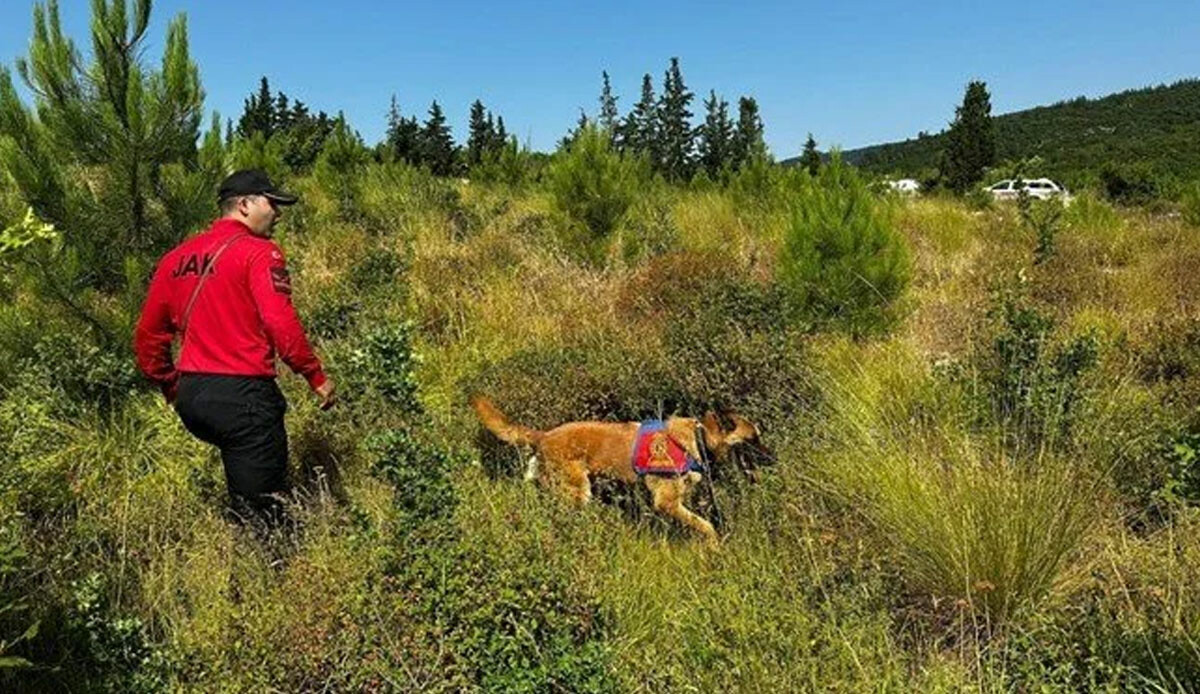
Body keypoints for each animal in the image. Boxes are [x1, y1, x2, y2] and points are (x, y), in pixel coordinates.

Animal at [468, 393, 768, 540]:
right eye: (753, 439)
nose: (772, 459)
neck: (699, 437)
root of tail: (544, 436)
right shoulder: (667, 503)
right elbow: (705, 526)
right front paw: (715, 547)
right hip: (577, 494)